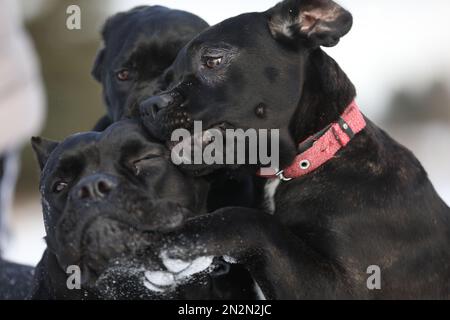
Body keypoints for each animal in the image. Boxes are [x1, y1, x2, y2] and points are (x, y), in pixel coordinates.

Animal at [141, 0, 450, 300]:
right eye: (166, 81)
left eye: (213, 60)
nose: (148, 105)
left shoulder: (345, 286)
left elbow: (249, 220)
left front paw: (181, 236)